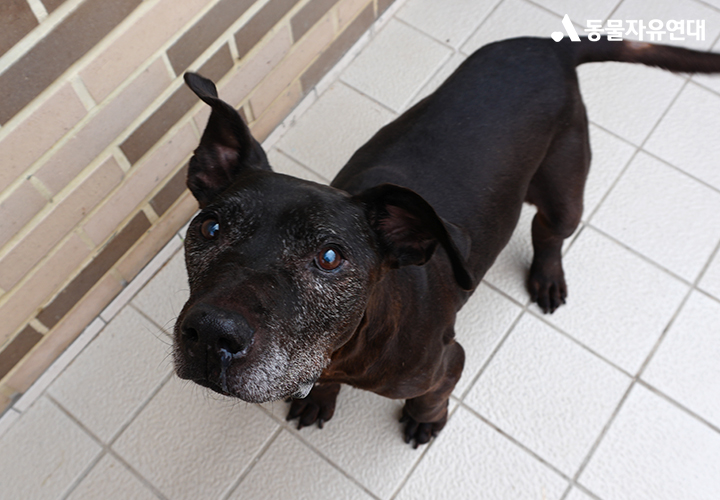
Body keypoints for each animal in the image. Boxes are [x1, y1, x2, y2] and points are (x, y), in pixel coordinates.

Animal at [172, 37, 720, 446]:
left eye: (329, 257)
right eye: (210, 228)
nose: (211, 334)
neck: (351, 345)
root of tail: (548, 46)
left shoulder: (448, 361)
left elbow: (431, 396)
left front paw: (426, 420)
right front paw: (320, 399)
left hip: (565, 190)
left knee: (549, 232)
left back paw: (547, 275)